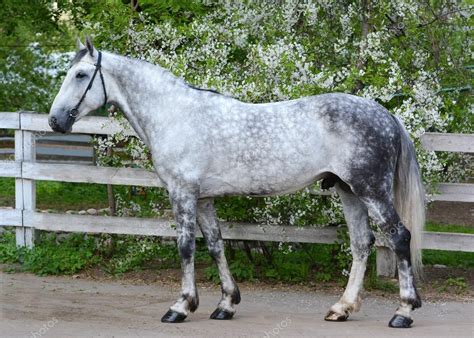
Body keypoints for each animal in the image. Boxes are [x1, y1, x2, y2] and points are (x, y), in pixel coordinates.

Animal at [49, 38, 426, 328]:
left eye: (81, 74)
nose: (55, 121)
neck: (174, 114)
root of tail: (386, 115)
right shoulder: (203, 199)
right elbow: (216, 245)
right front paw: (226, 304)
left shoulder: (183, 194)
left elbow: (186, 248)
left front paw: (181, 306)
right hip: (349, 191)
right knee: (362, 244)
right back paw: (341, 308)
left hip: (371, 190)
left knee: (399, 237)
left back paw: (403, 312)